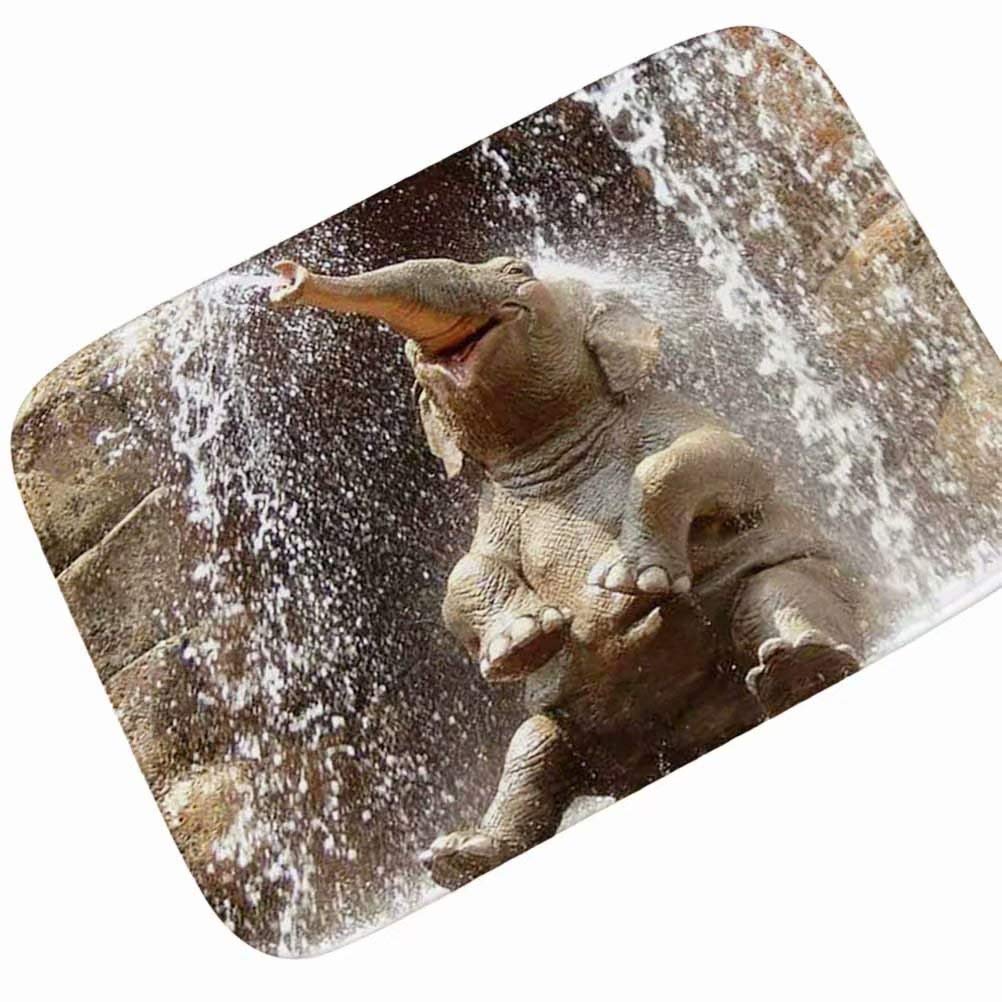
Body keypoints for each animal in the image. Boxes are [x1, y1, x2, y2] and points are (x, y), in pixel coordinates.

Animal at [269, 254, 865, 890]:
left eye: (517, 270)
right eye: (407, 359)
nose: (287, 279)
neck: (552, 447)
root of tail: (690, 741)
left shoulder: (661, 417)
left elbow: (727, 458)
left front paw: (628, 583)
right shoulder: (498, 510)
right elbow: (464, 574)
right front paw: (525, 641)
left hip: (786, 580)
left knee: (777, 590)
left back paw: (798, 669)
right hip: (574, 727)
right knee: (533, 749)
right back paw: (459, 855)